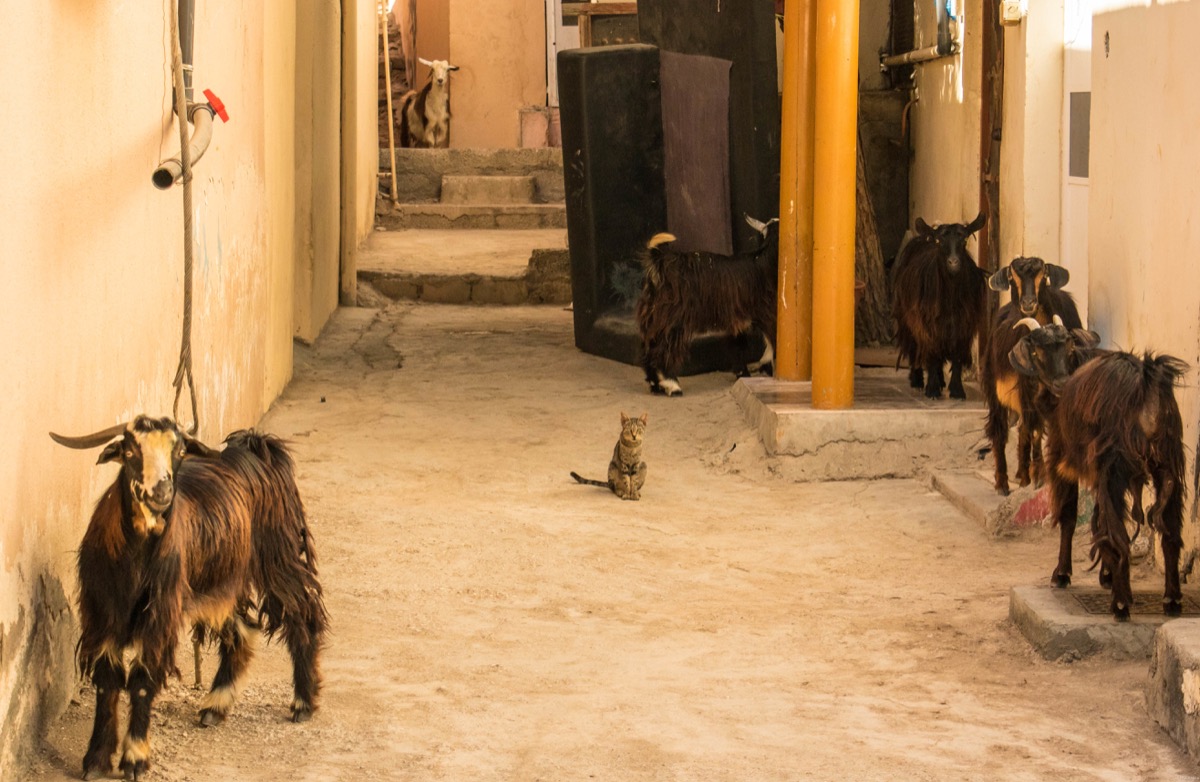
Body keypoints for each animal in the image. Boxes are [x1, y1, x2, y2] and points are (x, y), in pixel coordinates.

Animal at [52, 414, 328, 777]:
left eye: (179, 451)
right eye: (130, 450)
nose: (161, 491)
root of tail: (256, 447)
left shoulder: (160, 615)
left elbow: (141, 681)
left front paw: (135, 759)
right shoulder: (102, 614)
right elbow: (107, 679)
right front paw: (96, 759)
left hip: (277, 557)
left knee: (301, 611)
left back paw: (303, 702)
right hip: (221, 581)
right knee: (242, 631)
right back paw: (215, 705)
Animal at [638, 215, 777, 393]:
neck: (764, 261)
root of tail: (660, 263)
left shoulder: (738, 320)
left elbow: (738, 346)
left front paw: (743, 374)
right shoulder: (766, 313)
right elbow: (771, 341)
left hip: (653, 315)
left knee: (649, 346)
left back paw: (655, 384)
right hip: (674, 319)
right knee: (664, 347)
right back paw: (671, 384)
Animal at [892, 212, 984, 400]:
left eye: (964, 240)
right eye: (940, 241)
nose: (953, 262)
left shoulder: (963, 324)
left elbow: (956, 355)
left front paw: (957, 390)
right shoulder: (926, 322)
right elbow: (932, 352)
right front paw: (932, 389)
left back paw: (941, 381)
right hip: (907, 318)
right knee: (916, 348)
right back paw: (918, 381)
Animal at [979, 259, 1084, 498]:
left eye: (1043, 274)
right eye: (1012, 277)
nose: (1028, 302)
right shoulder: (1026, 387)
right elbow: (1034, 428)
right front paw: (1039, 475)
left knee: (1022, 429)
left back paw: (1022, 474)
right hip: (994, 389)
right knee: (1000, 430)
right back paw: (1003, 482)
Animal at [1012, 321, 1190, 618]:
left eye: (1069, 346)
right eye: (1036, 350)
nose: (1061, 385)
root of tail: (1146, 384)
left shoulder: (1063, 456)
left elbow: (1070, 515)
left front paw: (1062, 574)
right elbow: (1098, 515)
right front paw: (1105, 574)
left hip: (1116, 466)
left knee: (1119, 534)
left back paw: (1121, 604)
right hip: (1168, 463)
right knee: (1170, 533)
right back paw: (1171, 600)